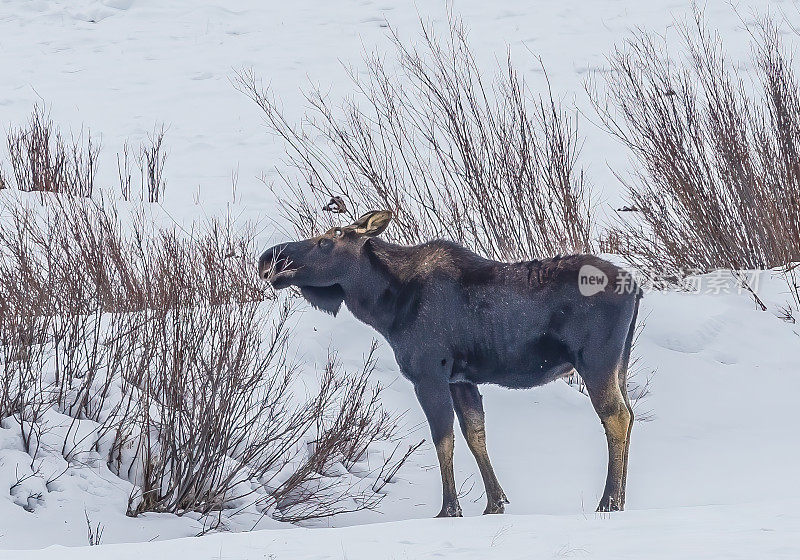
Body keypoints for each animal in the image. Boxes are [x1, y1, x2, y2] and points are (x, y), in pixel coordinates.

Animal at [260, 210, 640, 516]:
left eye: (327, 240)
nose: (268, 258)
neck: (385, 307)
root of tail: (635, 286)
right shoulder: (461, 378)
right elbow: (475, 434)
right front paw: (494, 503)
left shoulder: (428, 374)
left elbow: (443, 438)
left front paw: (449, 509)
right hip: (620, 362)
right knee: (630, 415)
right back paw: (620, 499)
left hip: (596, 361)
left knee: (616, 416)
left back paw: (609, 501)